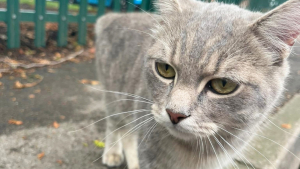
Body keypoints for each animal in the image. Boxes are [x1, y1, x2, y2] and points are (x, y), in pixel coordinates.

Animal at [95, 0, 298, 168]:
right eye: (165, 69)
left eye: (223, 84)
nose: (174, 113)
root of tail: (114, 16)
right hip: (116, 97)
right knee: (115, 124)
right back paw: (113, 152)